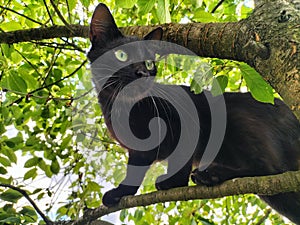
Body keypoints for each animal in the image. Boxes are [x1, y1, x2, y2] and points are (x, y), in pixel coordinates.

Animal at [86, 3, 300, 223]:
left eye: (149, 63)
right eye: (121, 55)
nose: (142, 73)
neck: (123, 107)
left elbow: (182, 158)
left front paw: (173, 182)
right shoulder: (139, 152)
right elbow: (133, 173)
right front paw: (120, 193)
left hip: (237, 119)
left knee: (268, 168)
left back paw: (209, 175)